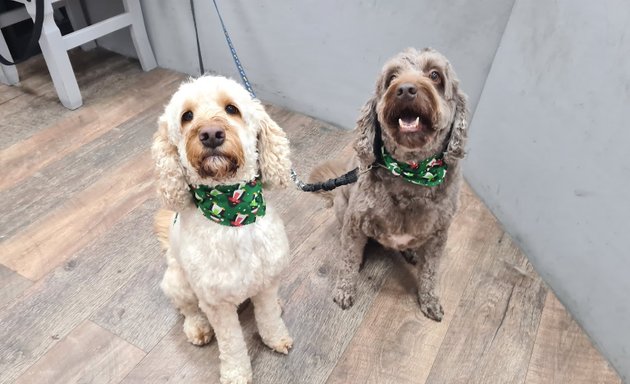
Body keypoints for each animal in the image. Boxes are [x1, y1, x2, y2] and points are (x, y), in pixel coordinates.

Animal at [153, 76, 294, 384]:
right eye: (187, 116)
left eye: (232, 109)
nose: (211, 134)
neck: (234, 216)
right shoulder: (217, 304)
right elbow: (232, 344)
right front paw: (236, 374)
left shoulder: (267, 281)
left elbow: (268, 317)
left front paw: (276, 338)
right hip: (178, 282)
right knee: (188, 309)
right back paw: (197, 328)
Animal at [312, 48, 470, 320]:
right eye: (392, 77)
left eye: (435, 75)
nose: (405, 89)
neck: (410, 172)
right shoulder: (354, 223)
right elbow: (348, 261)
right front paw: (344, 289)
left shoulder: (439, 235)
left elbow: (430, 273)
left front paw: (430, 300)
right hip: (343, 206)